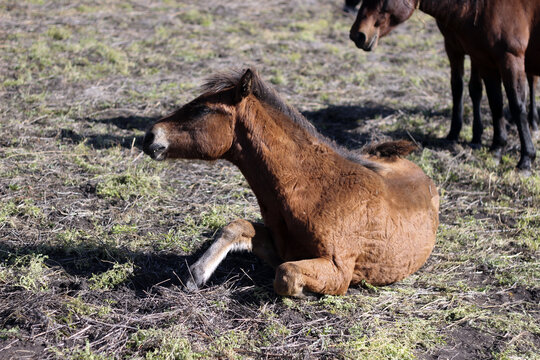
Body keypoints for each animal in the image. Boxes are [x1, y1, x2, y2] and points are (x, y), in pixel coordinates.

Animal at [142, 69, 438, 296]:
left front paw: (307, 292)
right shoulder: (280, 247)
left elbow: (286, 275)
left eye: (202, 109)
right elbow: (238, 227)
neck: (317, 190)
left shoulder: (339, 269)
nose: (150, 136)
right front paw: (196, 274)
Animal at [348, 0, 536, 170]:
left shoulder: (508, 58)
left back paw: (533, 124)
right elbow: (485, 98)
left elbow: (515, 105)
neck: (483, 7)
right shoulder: (466, 52)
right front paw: (481, 142)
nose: (357, 35)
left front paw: (526, 159)